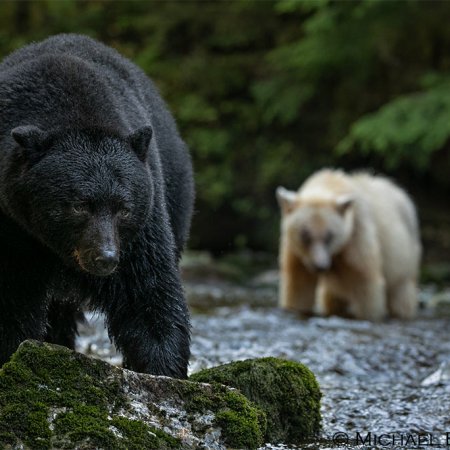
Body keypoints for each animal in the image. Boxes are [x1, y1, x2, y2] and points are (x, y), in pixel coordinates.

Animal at [0, 34, 194, 376]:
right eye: (80, 205)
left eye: (123, 208)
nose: (105, 257)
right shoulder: (11, 229)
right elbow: (12, 303)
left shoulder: (142, 224)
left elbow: (147, 290)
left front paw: (163, 368)